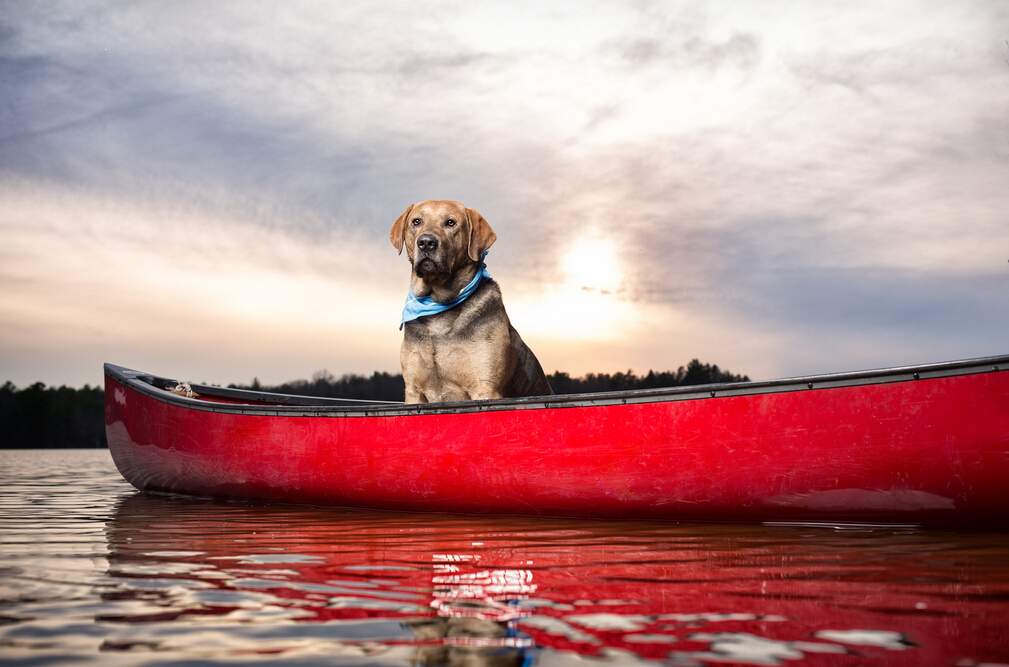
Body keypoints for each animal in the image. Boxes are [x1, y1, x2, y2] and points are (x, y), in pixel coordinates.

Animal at [389, 200, 556, 403]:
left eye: (451, 222)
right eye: (416, 221)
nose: (426, 242)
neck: (438, 305)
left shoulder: (485, 388)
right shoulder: (414, 391)